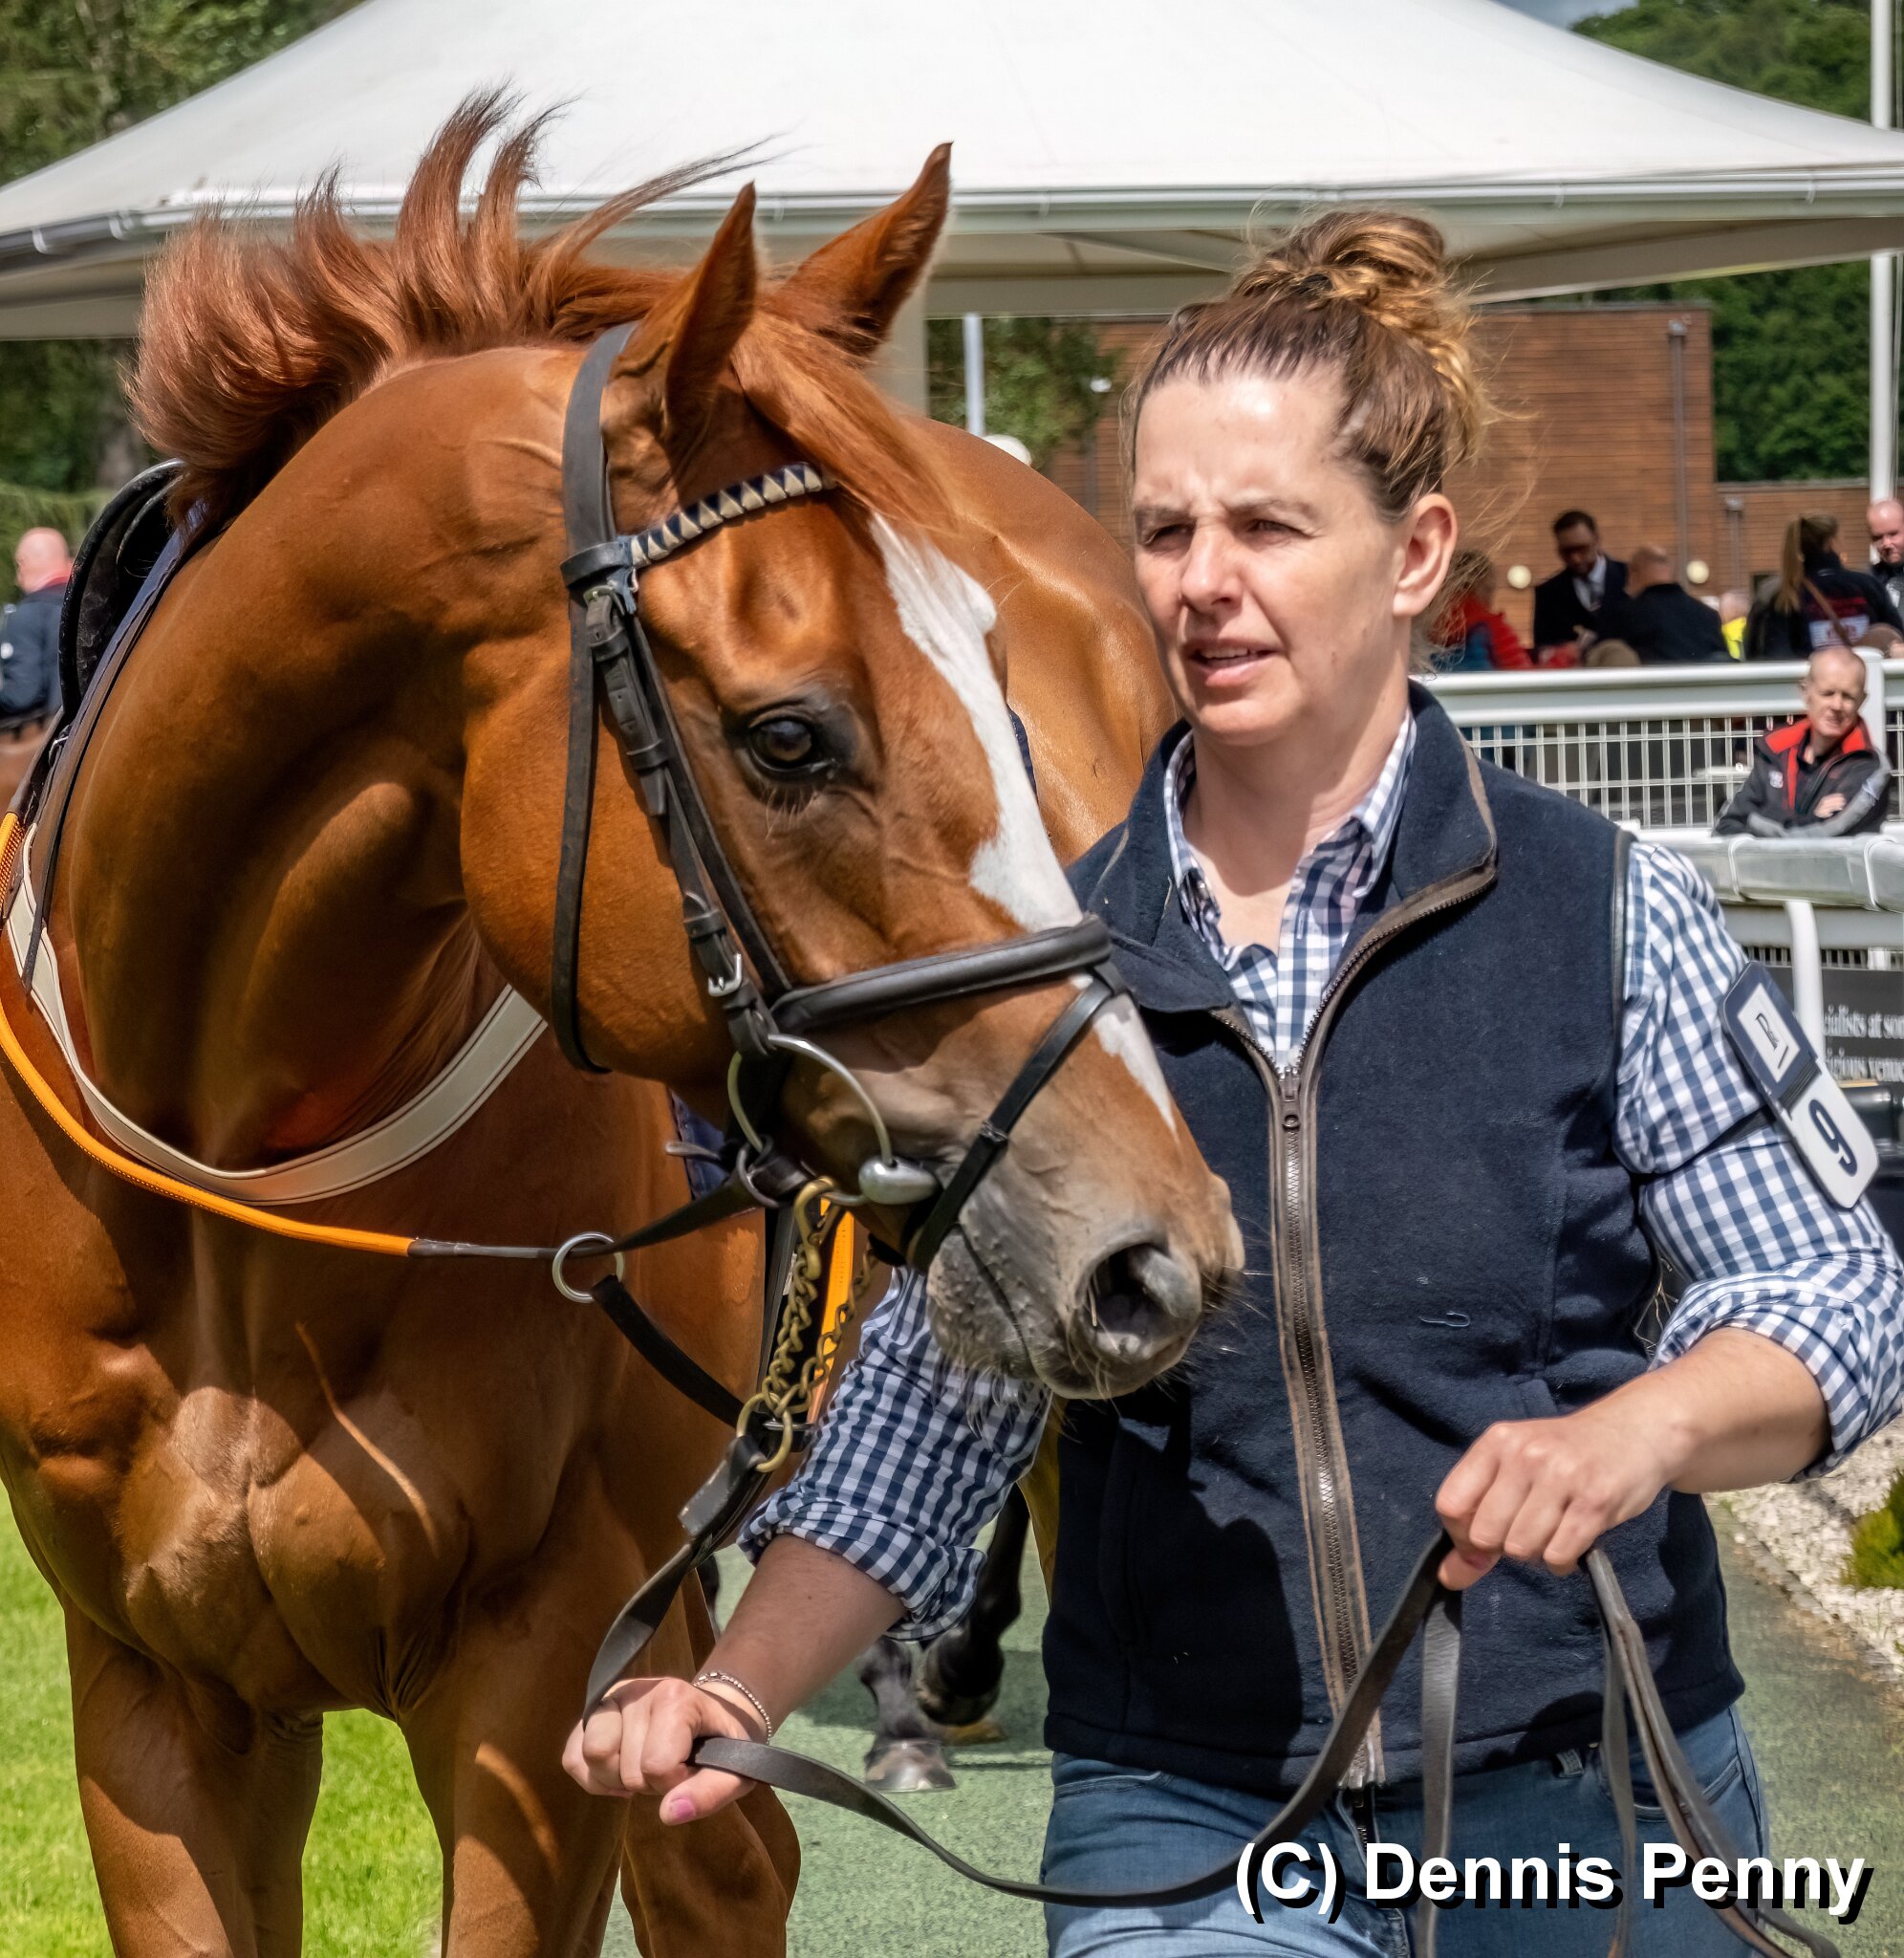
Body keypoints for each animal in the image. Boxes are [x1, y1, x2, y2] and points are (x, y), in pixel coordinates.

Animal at [0, 99, 1236, 1957]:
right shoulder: (159, 1700)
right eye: (791, 736)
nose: (1152, 1237)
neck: (241, 1190)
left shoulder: (527, 1686)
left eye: (1004, 694)